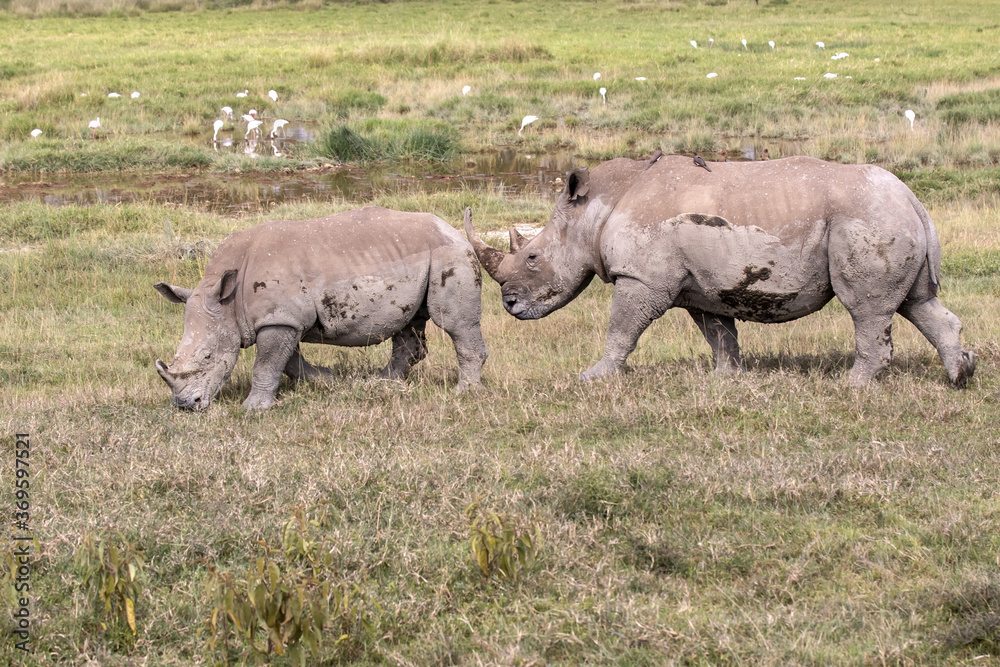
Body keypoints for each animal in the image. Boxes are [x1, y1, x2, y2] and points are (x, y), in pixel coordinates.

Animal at [155, 207, 488, 410]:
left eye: (208, 356)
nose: (186, 406)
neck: (228, 300)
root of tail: (453, 229)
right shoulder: (285, 319)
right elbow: (288, 362)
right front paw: (326, 379)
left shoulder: (279, 319)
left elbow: (266, 363)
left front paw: (252, 408)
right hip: (420, 258)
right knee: (409, 323)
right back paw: (383, 381)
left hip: (449, 255)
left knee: (455, 325)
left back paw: (464, 393)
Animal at [465, 154, 975, 387]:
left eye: (532, 258)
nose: (509, 304)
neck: (596, 208)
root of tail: (912, 197)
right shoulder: (701, 285)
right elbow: (719, 334)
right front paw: (725, 380)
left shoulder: (642, 278)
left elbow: (621, 329)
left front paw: (595, 377)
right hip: (886, 215)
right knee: (918, 302)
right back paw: (961, 376)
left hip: (867, 217)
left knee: (867, 309)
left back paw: (851, 386)